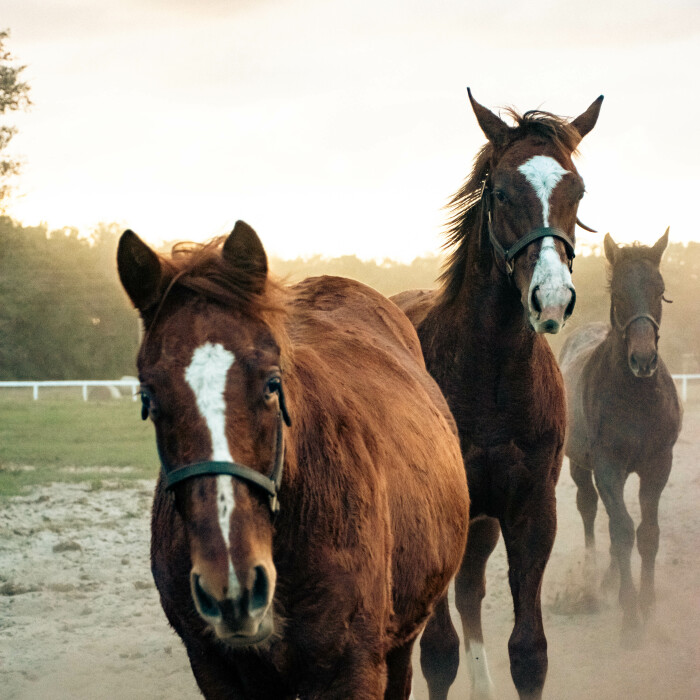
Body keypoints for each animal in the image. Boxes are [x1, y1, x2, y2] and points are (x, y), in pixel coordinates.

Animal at [392, 90, 603, 700]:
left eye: (577, 190)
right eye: (503, 191)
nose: (551, 298)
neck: (489, 379)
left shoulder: (531, 511)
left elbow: (528, 652)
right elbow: (437, 654)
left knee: (470, 593)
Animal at [559, 229, 682, 644]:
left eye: (660, 289)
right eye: (617, 293)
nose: (643, 360)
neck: (636, 398)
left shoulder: (658, 466)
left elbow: (647, 533)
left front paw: (647, 603)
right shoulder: (607, 468)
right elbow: (622, 530)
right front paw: (630, 616)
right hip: (580, 466)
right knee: (590, 510)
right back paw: (594, 577)